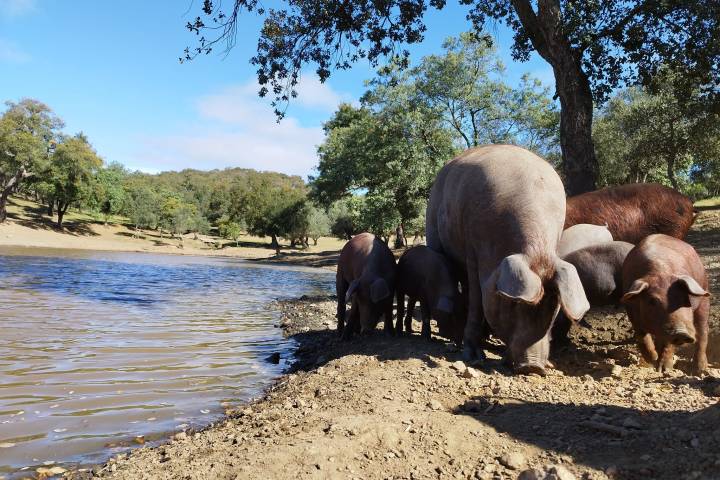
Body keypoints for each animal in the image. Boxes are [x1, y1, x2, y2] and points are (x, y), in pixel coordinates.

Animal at [426, 145, 589, 374]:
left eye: (554, 305)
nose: (534, 366)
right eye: (513, 304)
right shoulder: (473, 251)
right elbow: (476, 301)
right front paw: (473, 357)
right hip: (433, 229)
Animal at [621, 234, 710, 375]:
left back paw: (699, 370)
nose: (681, 333)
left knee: (702, 331)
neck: (660, 272)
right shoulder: (632, 314)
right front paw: (652, 360)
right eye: (652, 301)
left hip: (704, 297)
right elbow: (642, 337)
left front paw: (664, 369)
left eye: (685, 299)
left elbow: (668, 344)